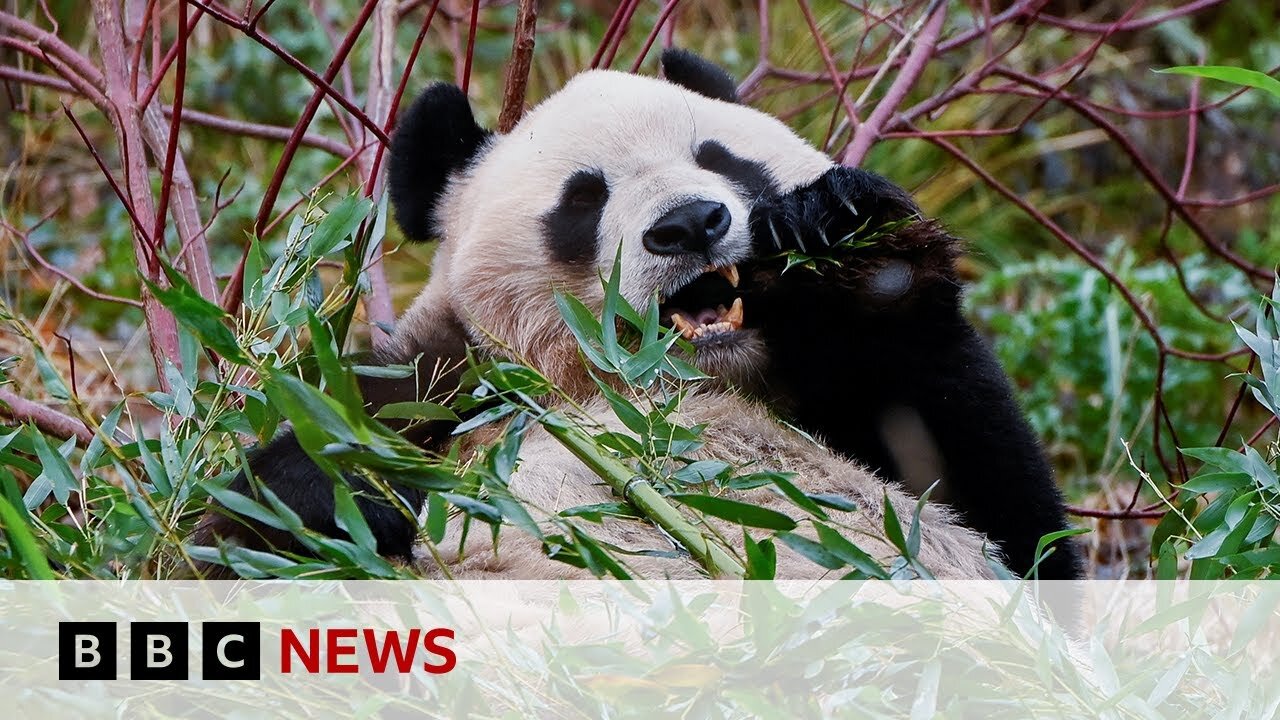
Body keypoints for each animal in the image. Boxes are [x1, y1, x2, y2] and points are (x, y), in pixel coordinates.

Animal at [197, 49, 1080, 576]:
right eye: (583, 199)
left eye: (721, 158)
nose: (689, 223)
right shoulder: (445, 384)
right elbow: (250, 523)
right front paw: (361, 490)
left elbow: (1013, 525)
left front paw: (853, 244)